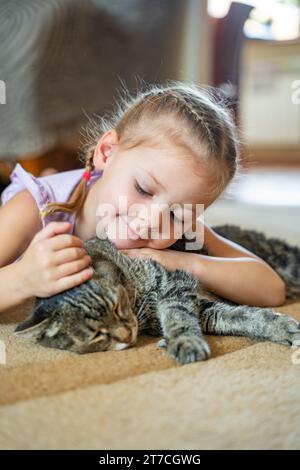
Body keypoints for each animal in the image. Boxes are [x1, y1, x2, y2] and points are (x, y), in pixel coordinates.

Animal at [15, 226, 300, 366]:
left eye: (117, 306)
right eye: (96, 335)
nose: (127, 334)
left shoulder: (177, 285)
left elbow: (179, 317)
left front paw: (185, 342)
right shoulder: (201, 306)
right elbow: (235, 316)